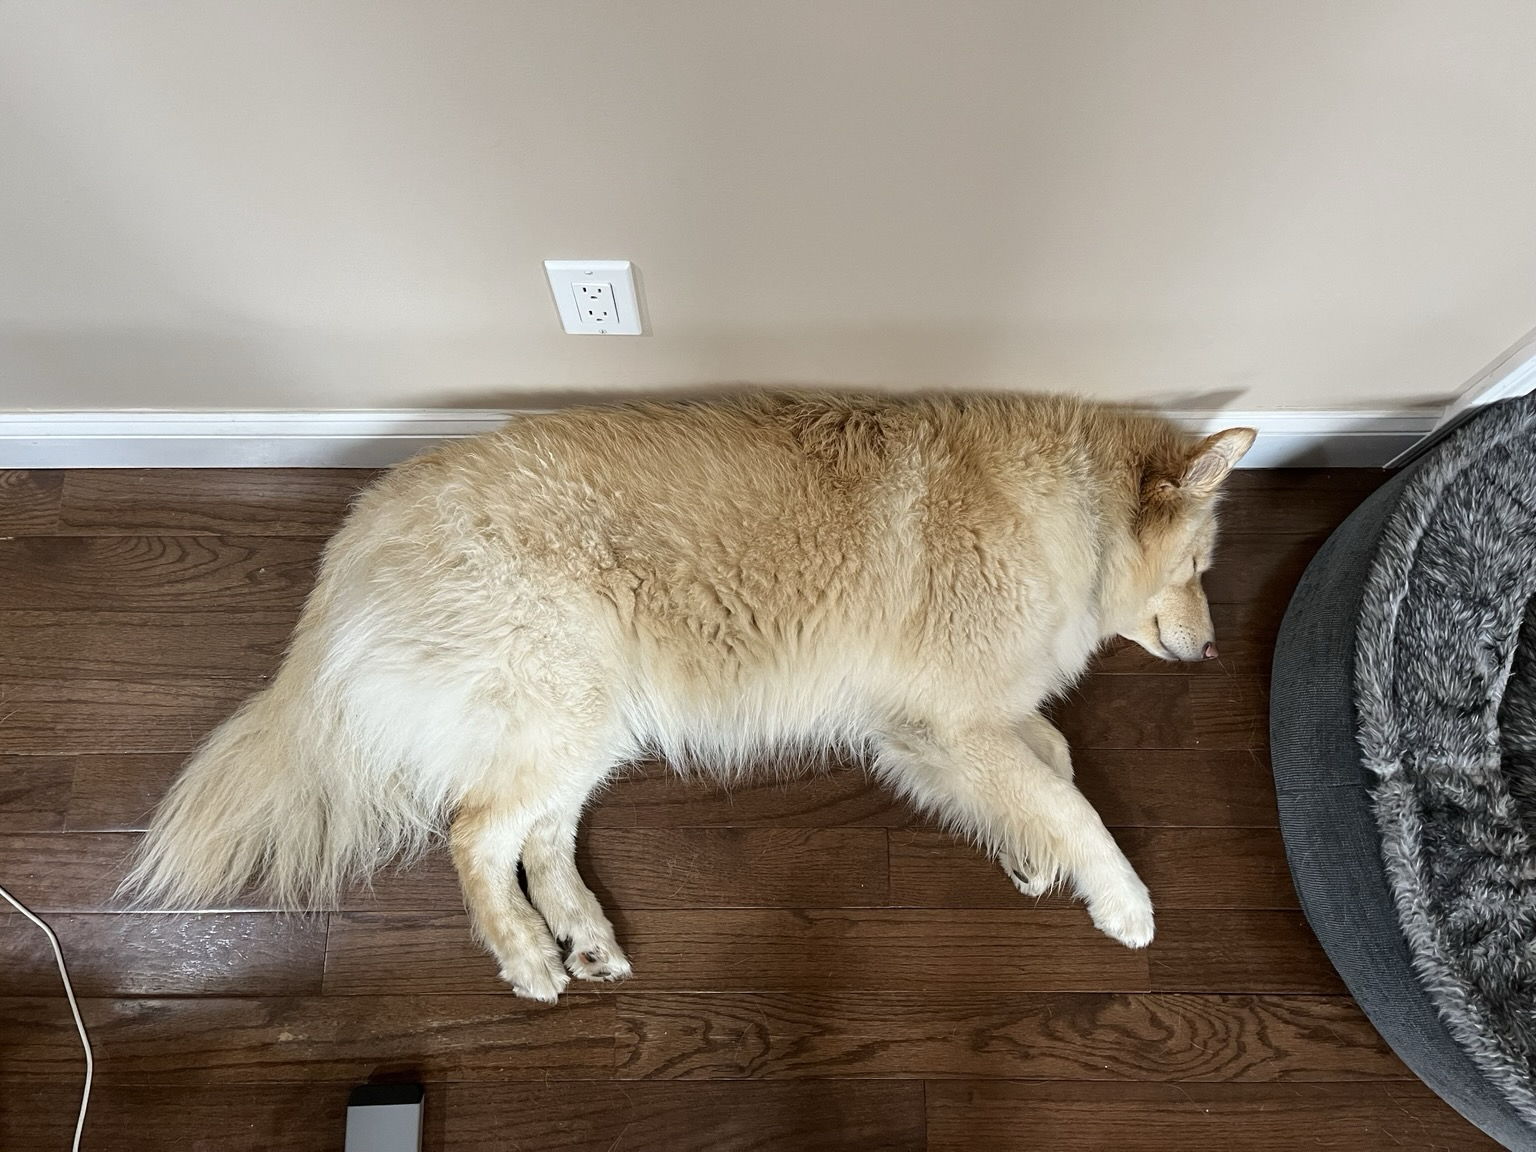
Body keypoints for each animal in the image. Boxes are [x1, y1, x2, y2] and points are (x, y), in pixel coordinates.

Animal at [127, 391, 1254, 1001]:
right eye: (1202, 564)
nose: (1211, 651)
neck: (1067, 516)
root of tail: (362, 528)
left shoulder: (943, 725)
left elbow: (1052, 764)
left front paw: (1030, 856)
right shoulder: (950, 720)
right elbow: (1069, 795)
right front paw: (1121, 896)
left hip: (599, 717)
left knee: (541, 834)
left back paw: (581, 931)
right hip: (568, 700)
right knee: (476, 830)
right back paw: (526, 955)